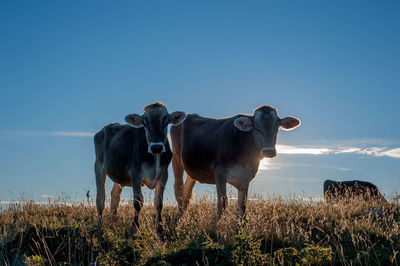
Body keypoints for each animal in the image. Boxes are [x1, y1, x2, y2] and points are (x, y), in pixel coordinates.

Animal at [94, 102, 186, 235]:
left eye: (166, 122)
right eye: (145, 123)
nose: (156, 147)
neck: (155, 157)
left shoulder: (164, 174)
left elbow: (159, 202)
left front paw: (160, 229)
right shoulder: (135, 173)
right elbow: (138, 201)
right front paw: (134, 227)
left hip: (119, 176)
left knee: (115, 196)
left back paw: (113, 222)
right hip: (98, 166)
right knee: (101, 197)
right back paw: (100, 225)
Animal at [170, 105, 300, 218]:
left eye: (276, 128)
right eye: (257, 129)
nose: (269, 151)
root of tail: (189, 114)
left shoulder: (245, 177)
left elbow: (243, 205)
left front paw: (242, 227)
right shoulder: (220, 173)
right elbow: (222, 203)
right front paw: (215, 228)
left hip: (192, 169)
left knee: (187, 194)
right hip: (176, 158)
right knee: (178, 189)